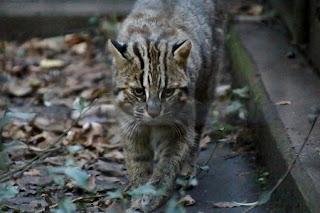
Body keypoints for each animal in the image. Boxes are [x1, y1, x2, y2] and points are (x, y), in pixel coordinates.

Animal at [107, 0, 222, 211]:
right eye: (138, 91)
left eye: (168, 92)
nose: (153, 113)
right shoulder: (131, 128)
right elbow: (138, 164)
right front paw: (139, 197)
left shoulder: (179, 128)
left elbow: (168, 164)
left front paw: (152, 195)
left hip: (205, 89)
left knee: (197, 134)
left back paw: (187, 170)